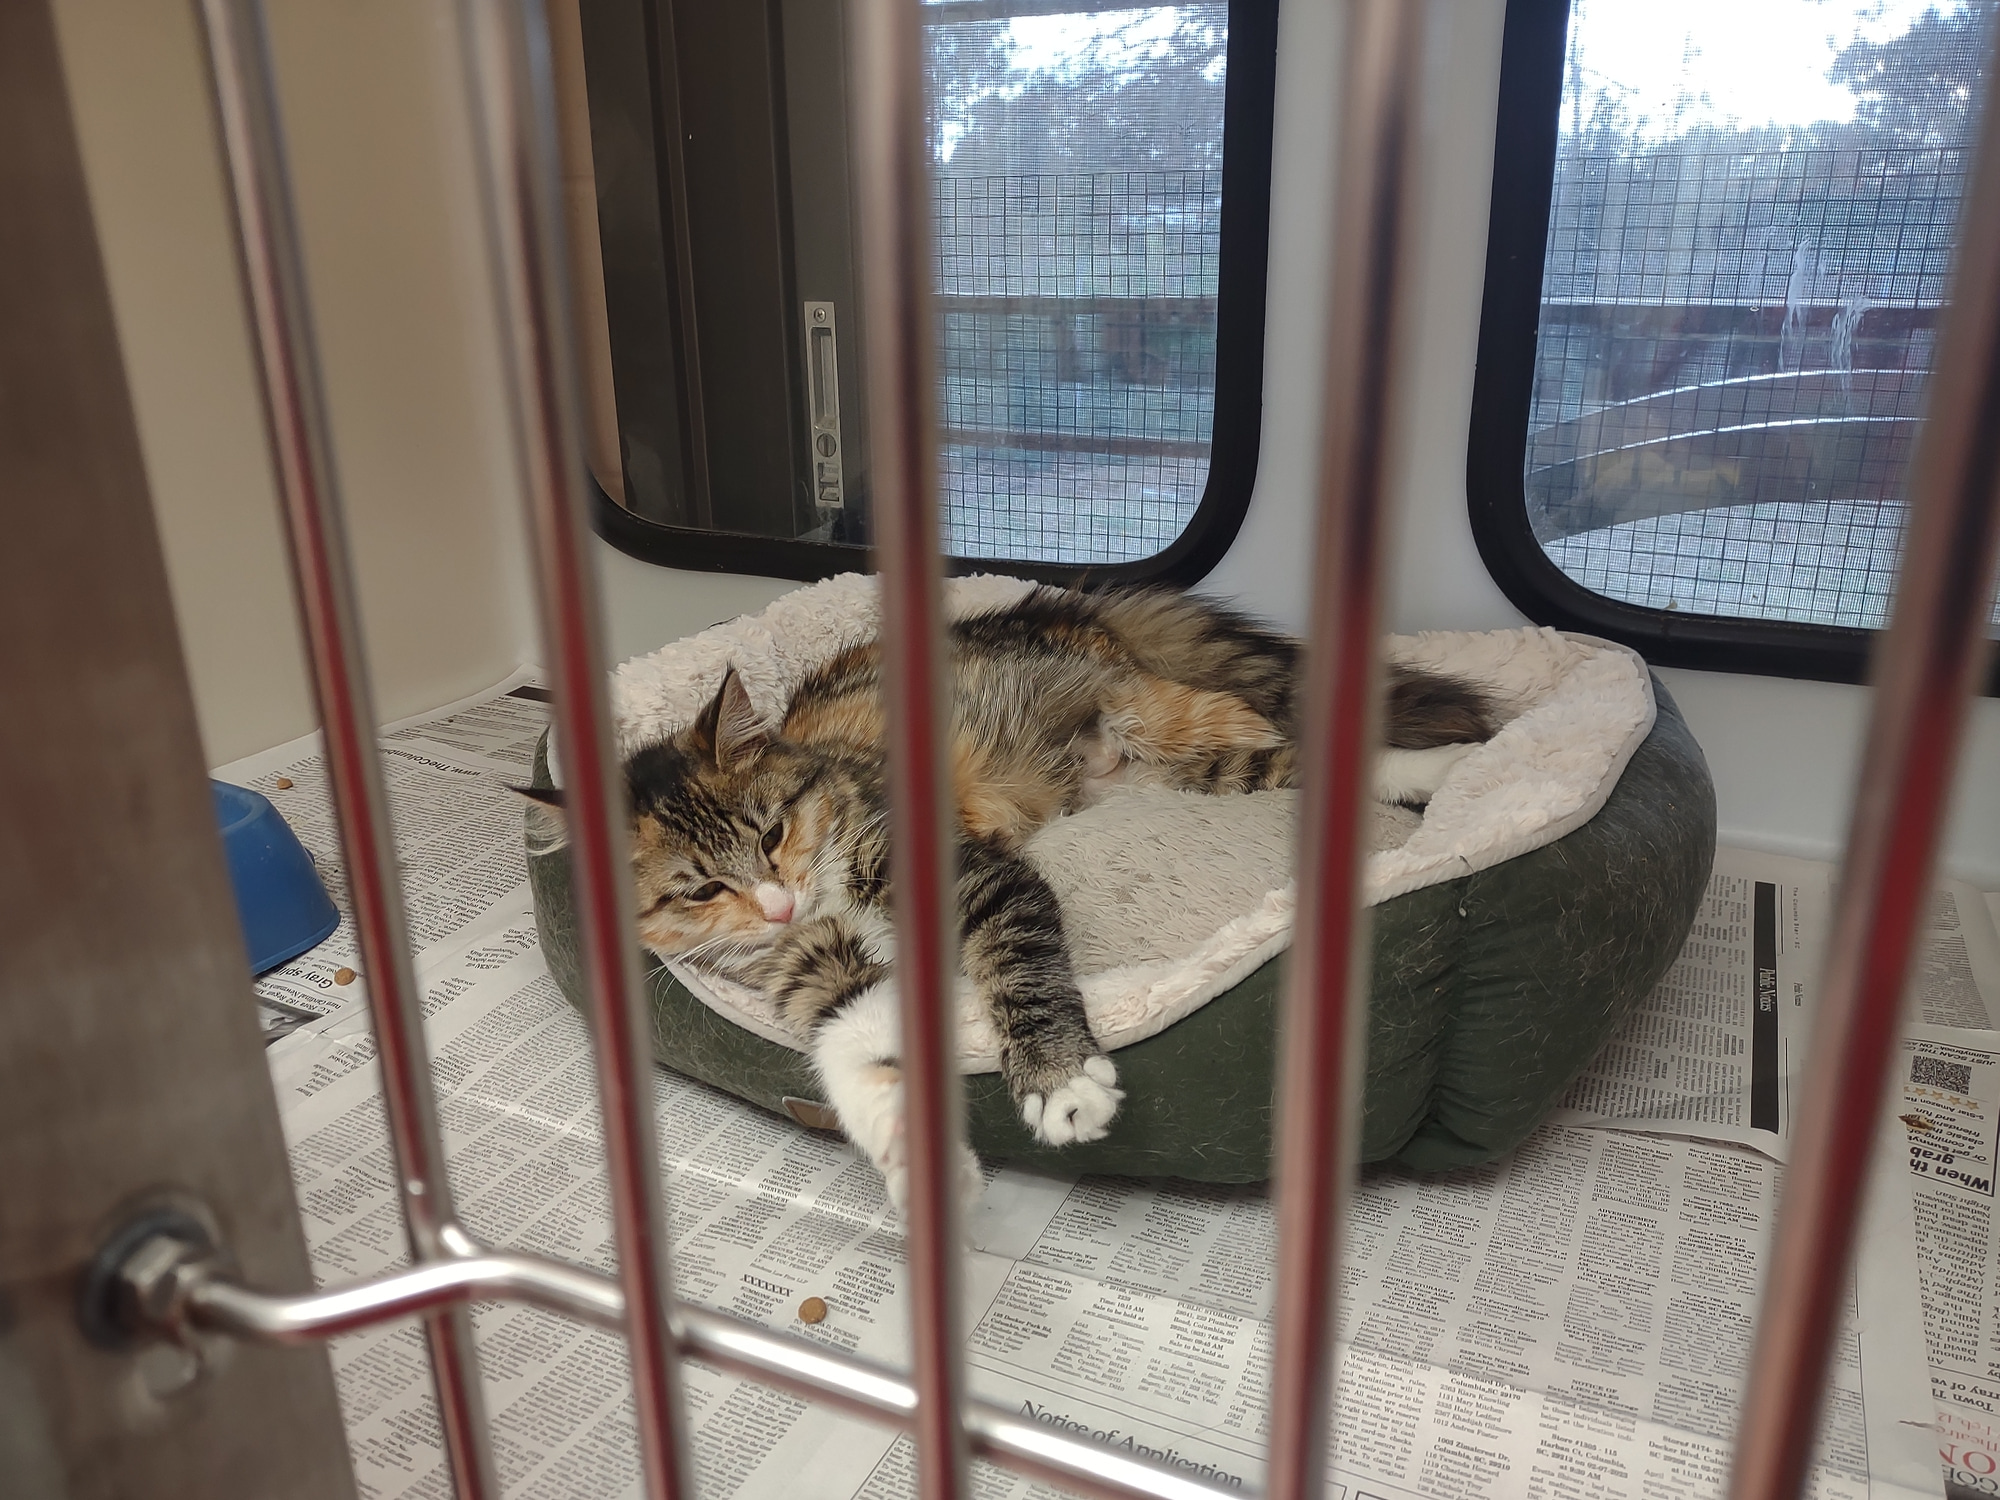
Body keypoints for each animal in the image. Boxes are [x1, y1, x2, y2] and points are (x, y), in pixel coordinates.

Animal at [524, 586, 1496, 1207]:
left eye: (770, 833)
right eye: (701, 890)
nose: (777, 901)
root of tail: (1058, 609)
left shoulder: (972, 872)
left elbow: (1016, 965)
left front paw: (1060, 1086)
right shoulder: (802, 965)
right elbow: (844, 1033)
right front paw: (909, 1150)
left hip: (1162, 712)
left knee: (1297, 744)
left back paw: (1446, 767)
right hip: (1152, 776)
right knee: (1262, 768)